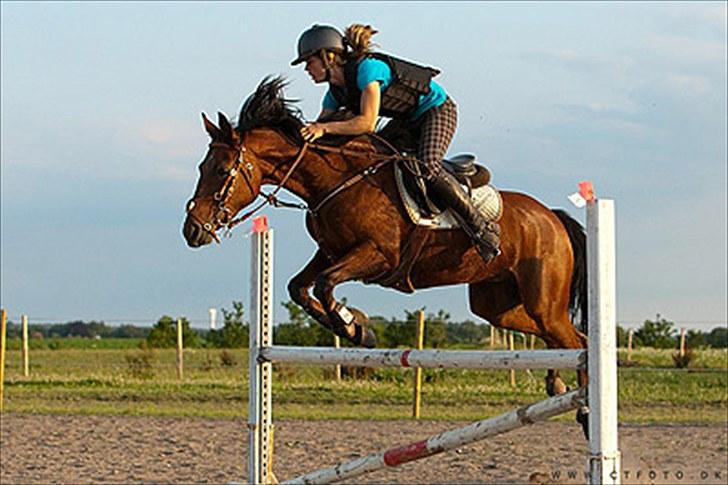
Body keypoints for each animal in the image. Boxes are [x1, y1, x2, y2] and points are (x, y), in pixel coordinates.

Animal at [183, 77, 592, 432]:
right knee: (562, 337)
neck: (334, 180)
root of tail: (551, 217)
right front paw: (353, 327)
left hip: (542, 301)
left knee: (578, 342)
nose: (192, 230)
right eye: (202, 166)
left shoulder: (378, 255)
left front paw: (353, 325)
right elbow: (299, 287)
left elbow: (325, 284)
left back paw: (585, 410)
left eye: (221, 170)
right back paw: (557, 384)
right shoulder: (330, 251)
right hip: (497, 305)